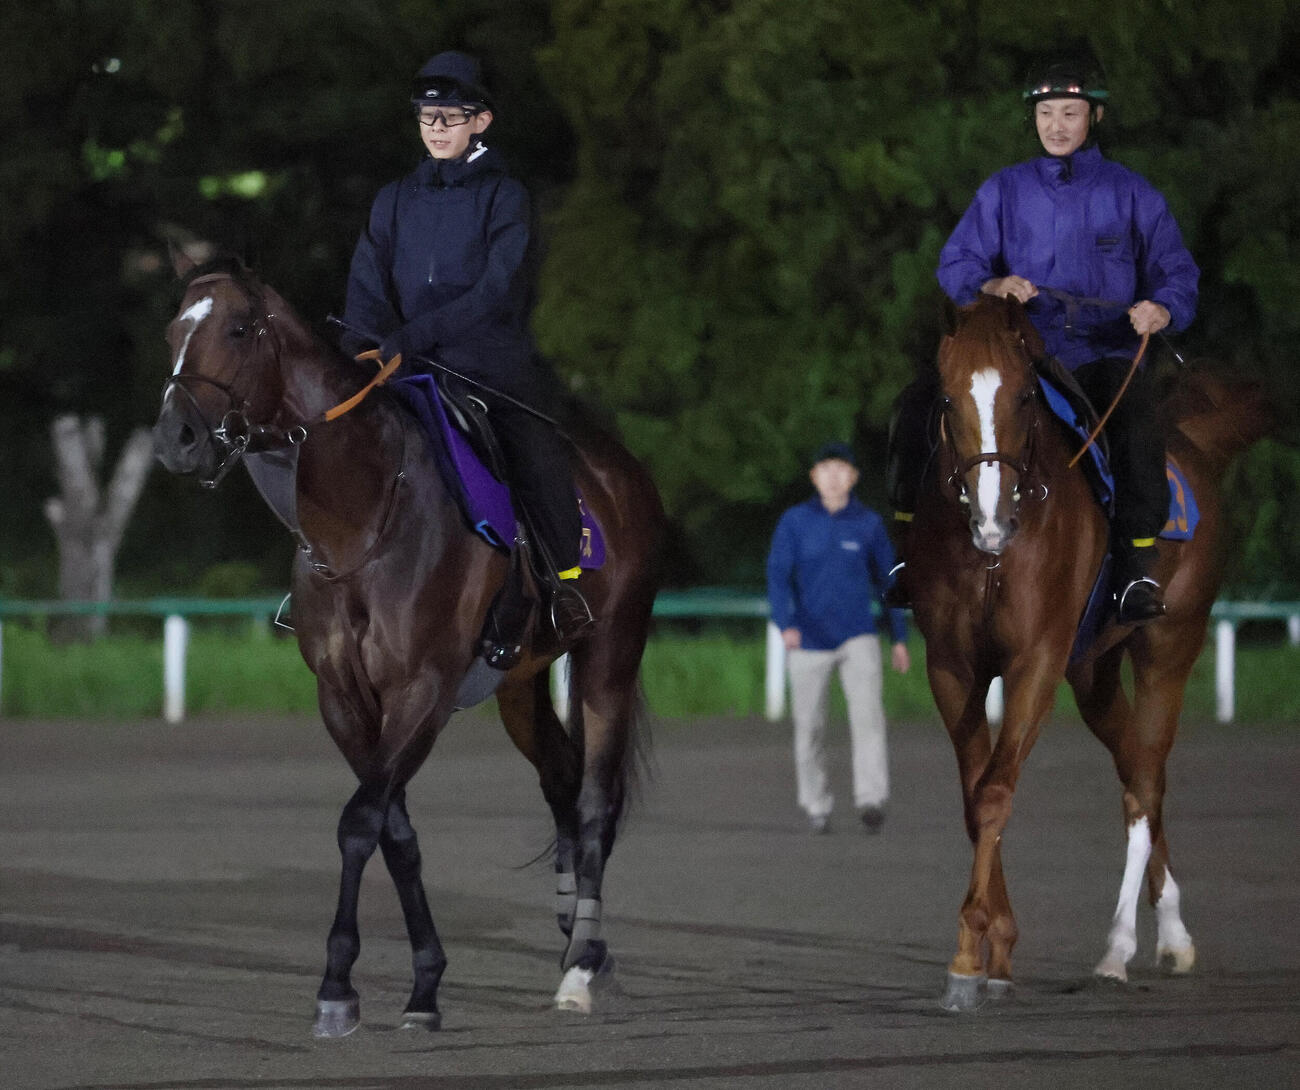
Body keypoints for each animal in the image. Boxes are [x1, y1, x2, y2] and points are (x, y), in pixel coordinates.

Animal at [152, 255, 664, 1036]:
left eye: (238, 329)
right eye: (174, 331)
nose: (174, 436)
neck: (365, 515)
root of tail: (620, 472)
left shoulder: (421, 690)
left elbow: (361, 821)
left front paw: (339, 987)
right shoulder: (344, 698)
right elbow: (394, 829)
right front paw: (423, 982)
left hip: (610, 655)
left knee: (594, 804)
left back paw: (579, 967)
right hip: (520, 682)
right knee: (560, 783)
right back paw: (585, 943)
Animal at [903, 294, 1271, 1011]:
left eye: (1023, 396)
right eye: (948, 399)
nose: (992, 521)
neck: (994, 557)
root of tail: (1191, 445)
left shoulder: (1036, 663)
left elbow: (995, 793)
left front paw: (966, 957)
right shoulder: (952, 670)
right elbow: (975, 799)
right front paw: (996, 953)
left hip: (1168, 647)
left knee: (1145, 783)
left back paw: (1121, 949)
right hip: (1094, 670)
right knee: (1136, 768)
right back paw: (1171, 931)